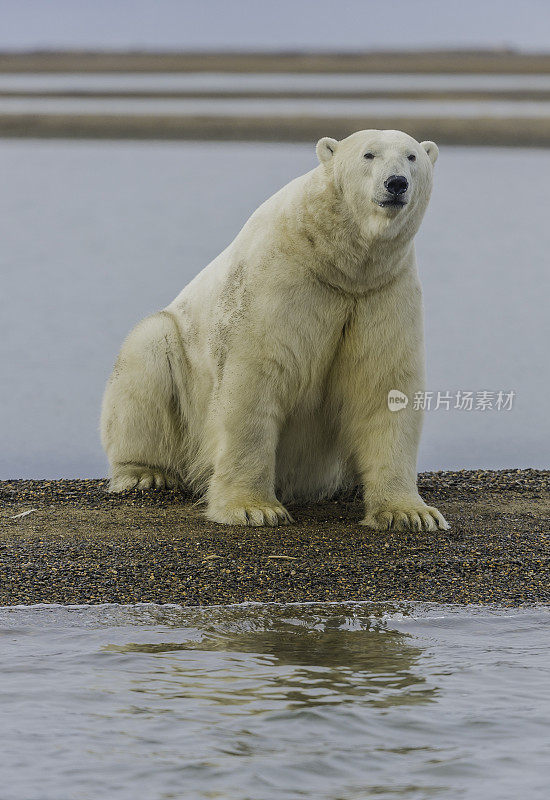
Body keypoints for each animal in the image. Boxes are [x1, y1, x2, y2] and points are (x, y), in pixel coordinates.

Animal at [101, 131, 450, 532]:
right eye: (368, 154)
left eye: (411, 157)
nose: (396, 184)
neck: (337, 260)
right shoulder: (280, 279)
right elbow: (256, 377)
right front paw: (253, 509)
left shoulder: (382, 290)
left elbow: (383, 383)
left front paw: (410, 513)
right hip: (175, 363)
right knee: (147, 355)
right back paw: (146, 473)